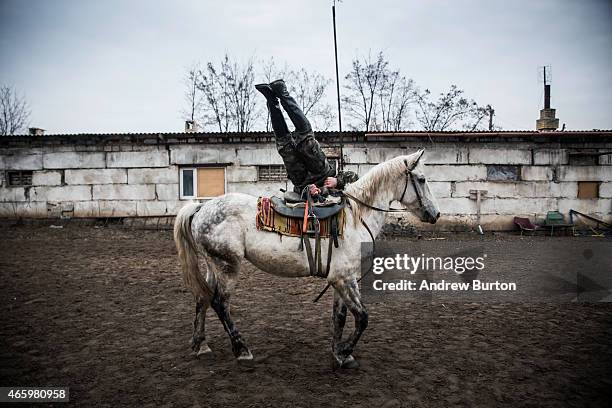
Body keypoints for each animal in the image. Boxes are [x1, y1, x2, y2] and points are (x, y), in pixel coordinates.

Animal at [173, 149, 440, 366]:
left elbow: (340, 317)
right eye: (422, 179)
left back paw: (200, 345)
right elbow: (362, 317)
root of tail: (201, 208)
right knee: (220, 303)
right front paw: (345, 351)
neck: (357, 217)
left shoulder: (341, 279)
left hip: (213, 265)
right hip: (227, 266)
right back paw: (241, 349)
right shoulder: (344, 279)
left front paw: (338, 352)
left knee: (203, 298)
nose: (436, 214)